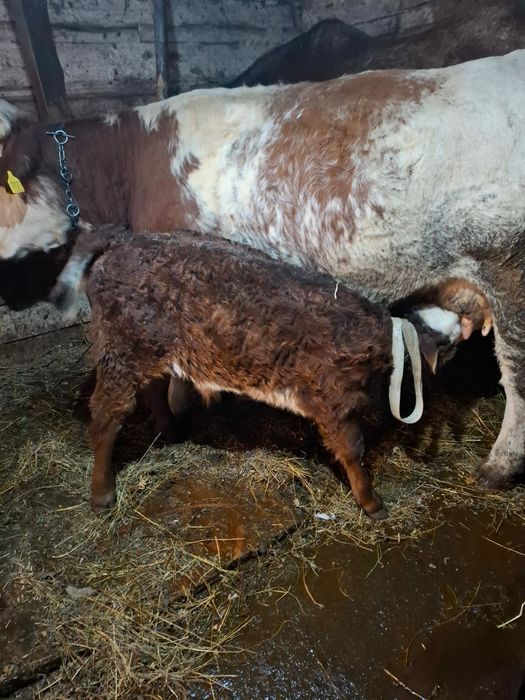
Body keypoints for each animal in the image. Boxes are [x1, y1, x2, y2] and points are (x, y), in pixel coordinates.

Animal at [50, 225, 468, 515]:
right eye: (448, 343)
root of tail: (122, 242)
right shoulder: (331, 398)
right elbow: (353, 448)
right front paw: (371, 502)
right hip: (120, 348)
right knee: (108, 414)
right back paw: (102, 491)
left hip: (148, 347)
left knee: (151, 388)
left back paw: (170, 429)